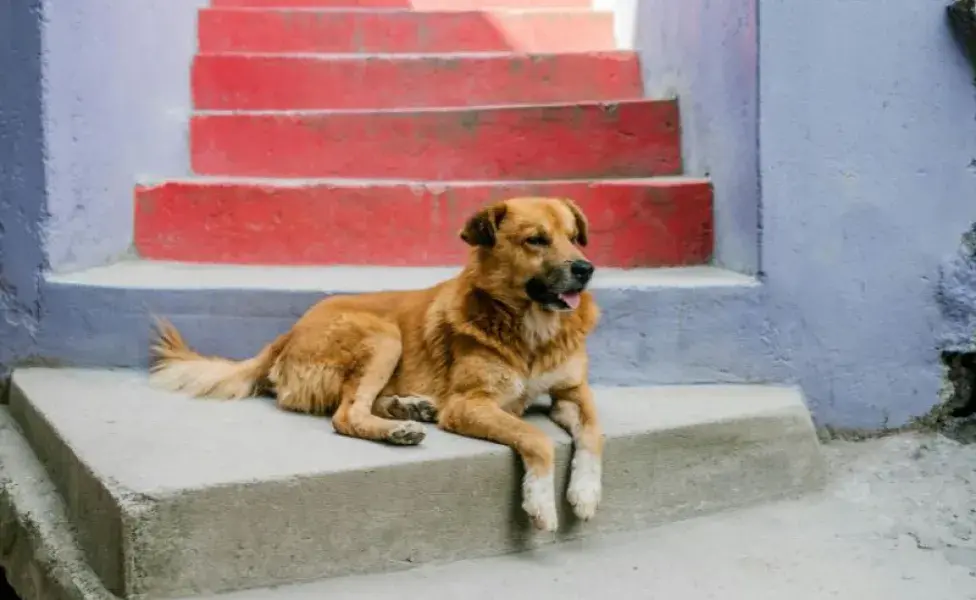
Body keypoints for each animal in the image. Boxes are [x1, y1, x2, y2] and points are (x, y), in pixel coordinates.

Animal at [151, 197, 604, 528]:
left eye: (574, 238)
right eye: (536, 240)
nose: (586, 268)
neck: (533, 328)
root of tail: (288, 333)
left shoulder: (573, 392)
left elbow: (594, 435)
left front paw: (585, 493)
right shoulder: (469, 403)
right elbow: (536, 437)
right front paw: (541, 502)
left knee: (357, 403)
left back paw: (411, 408)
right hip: (383, 335)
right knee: (345, 414)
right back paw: (396, 429)